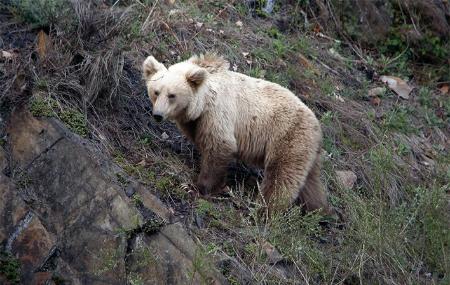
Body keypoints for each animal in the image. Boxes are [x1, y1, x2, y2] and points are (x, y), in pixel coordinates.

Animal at [142, 52, 332, 213]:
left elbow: (220, 146)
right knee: (310, 183)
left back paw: (265, 210)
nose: (158, 115)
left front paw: (203, 186)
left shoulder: (218, 113)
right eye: (156, 91)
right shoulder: (195, 123)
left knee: (281, 177)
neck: (202, 103)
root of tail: (317, 125)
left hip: (288, 136)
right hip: (307, 150)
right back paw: (317, 210)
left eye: (172, 95)